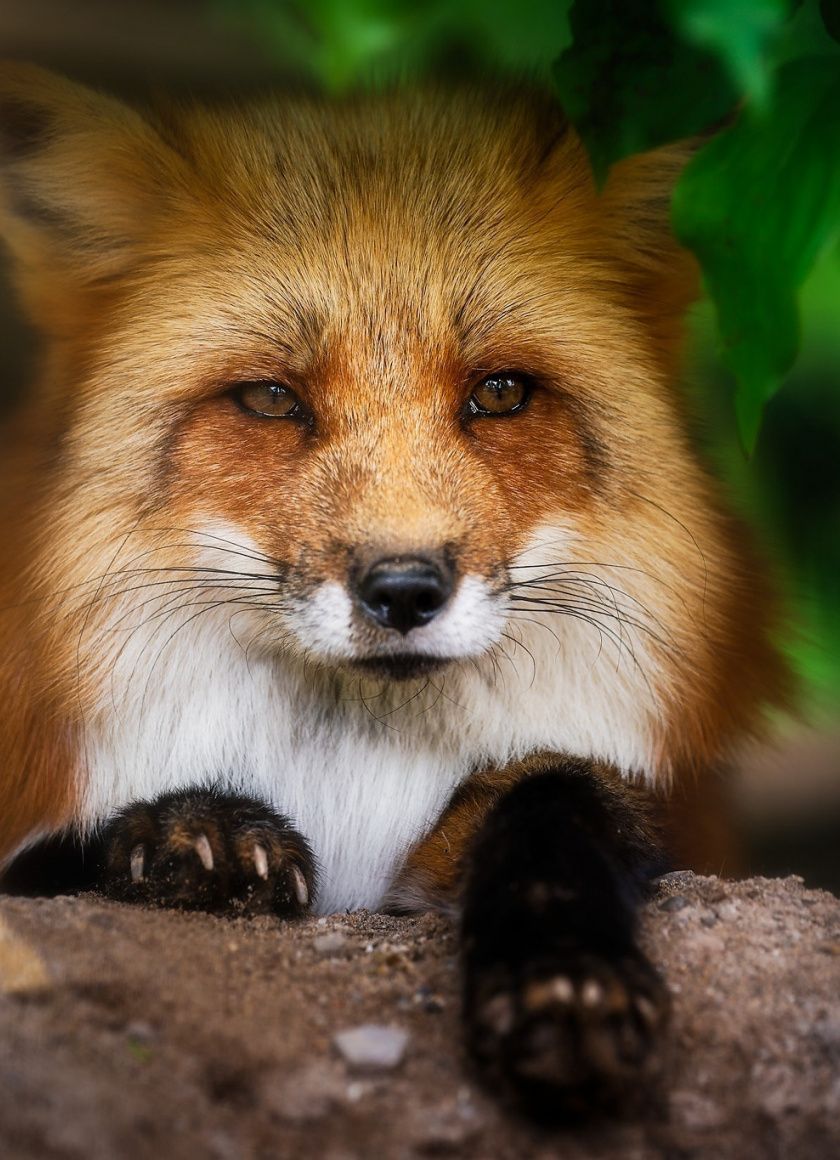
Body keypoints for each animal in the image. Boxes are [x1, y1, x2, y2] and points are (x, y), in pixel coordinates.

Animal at [0, 62, 787, 1118]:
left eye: (499, 393)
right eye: (272, 399)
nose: (406, 590)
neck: (349, 783)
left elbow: (559, 802)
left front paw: (567, 980)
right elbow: (62, 854)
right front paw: (194, 827)